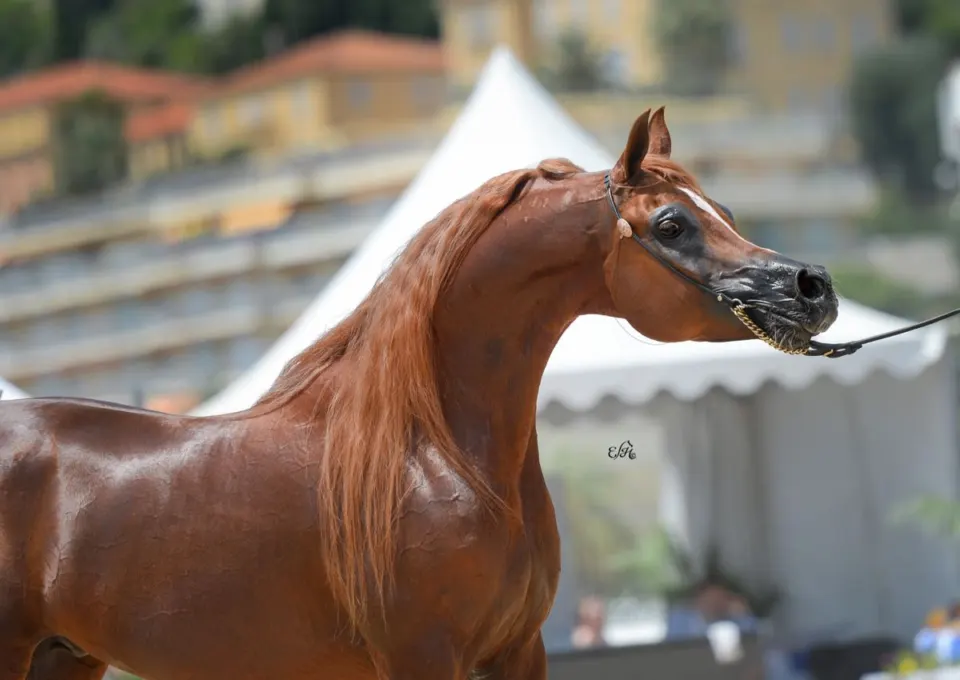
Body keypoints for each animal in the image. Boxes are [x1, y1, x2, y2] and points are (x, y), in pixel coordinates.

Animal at [1, 107, 838, 679]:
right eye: (670, 225)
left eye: (724, 212)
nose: (815, 288)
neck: (434, 454)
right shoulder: (423, 656)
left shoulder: (518, 651)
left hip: (64, 659)